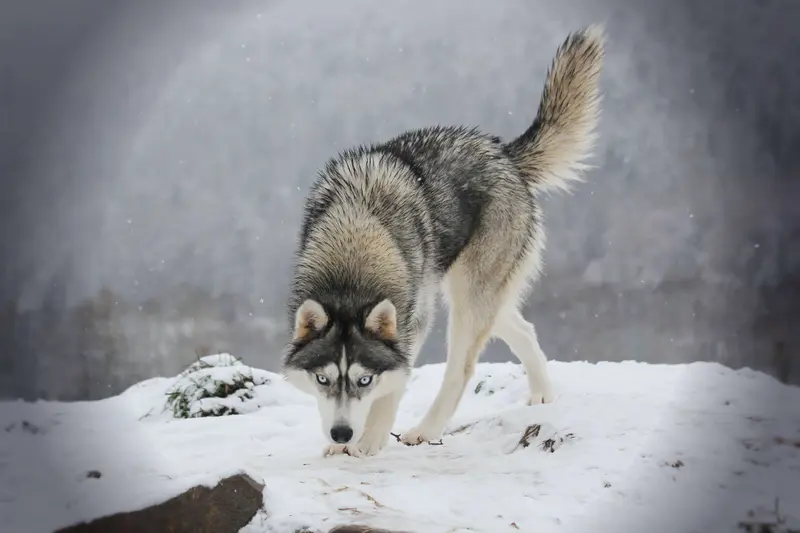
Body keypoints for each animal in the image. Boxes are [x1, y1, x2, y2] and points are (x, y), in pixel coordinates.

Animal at [281, 26, 605, 457]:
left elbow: (393, 388)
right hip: (475, 293)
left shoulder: (413, 323)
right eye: (323, 380)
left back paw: (425, 430)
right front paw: (343, 446)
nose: (341, 434)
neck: (356, 239)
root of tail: (502, 152)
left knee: (462, 368)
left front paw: (370, 440)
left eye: (364, 380)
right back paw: (542, 395)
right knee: (523, 328)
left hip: (466, 298)